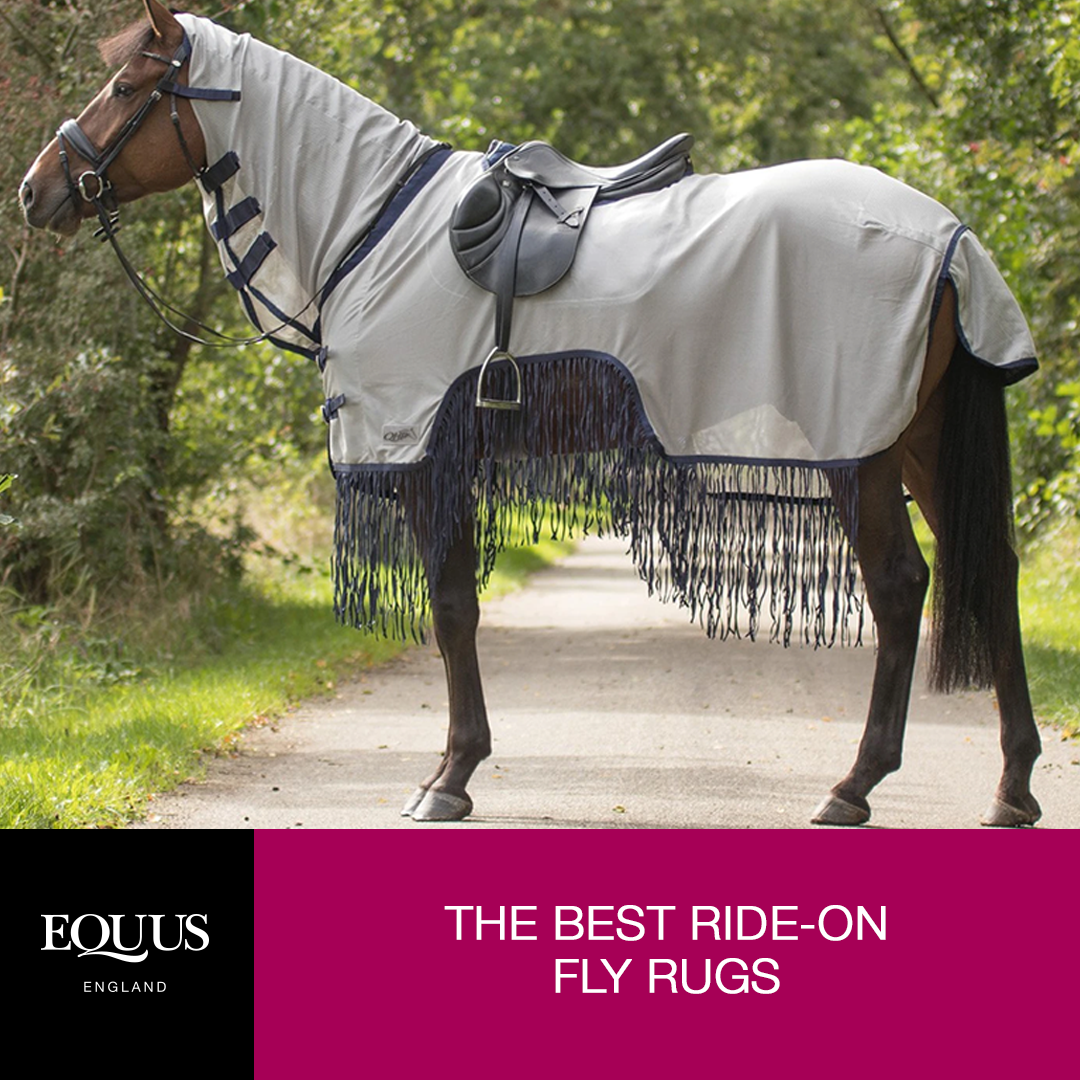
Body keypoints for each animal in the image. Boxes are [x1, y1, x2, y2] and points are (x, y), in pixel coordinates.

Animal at [20, 0, 1044, 827]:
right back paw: (1012, 786)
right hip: (917, 443)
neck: (371, 225)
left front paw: (449, 778)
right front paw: (453, 769)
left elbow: (451, 610)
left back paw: (854, 786)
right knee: (990, 569)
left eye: (125, 85)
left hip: (861, 456)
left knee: (903, 586)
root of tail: (948, 235)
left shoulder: (423, 456)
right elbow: (459, 608)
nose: (36, 191)